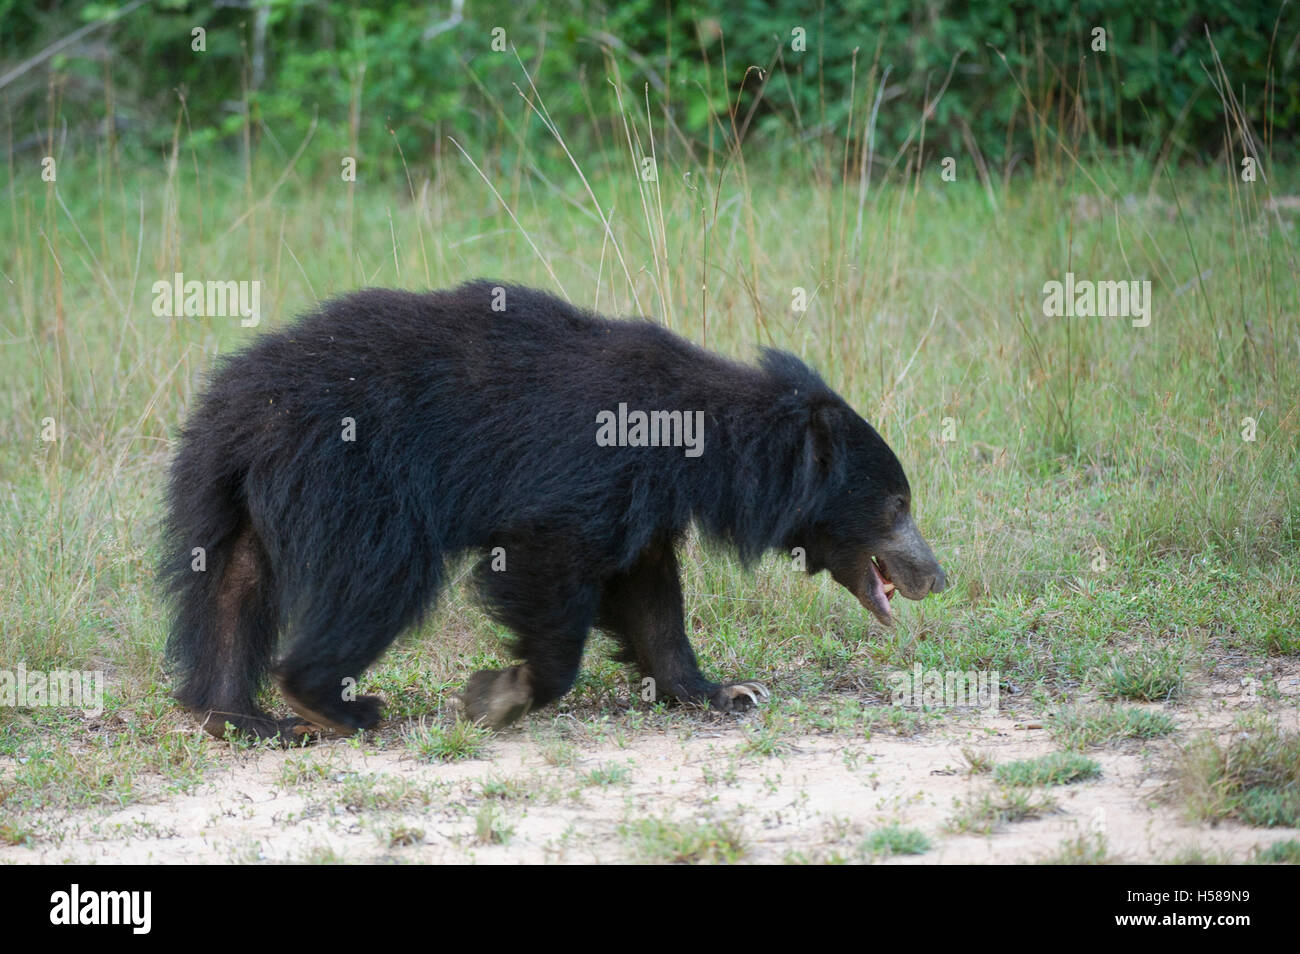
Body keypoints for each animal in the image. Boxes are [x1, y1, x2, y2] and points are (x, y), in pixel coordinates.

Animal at [165, 280, 946, 743]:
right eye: (897, 504)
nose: (936, 577)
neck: (697, 440)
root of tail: (244, 409)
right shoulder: (583, 475)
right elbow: (548, 563)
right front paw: (499, 695)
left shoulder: (641, 502)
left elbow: (651, 599)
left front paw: (726, 692)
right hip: (356, 475)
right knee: (381, 579)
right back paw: (331, 704)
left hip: (229, 493)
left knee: (231, 587)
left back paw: (237, 716)